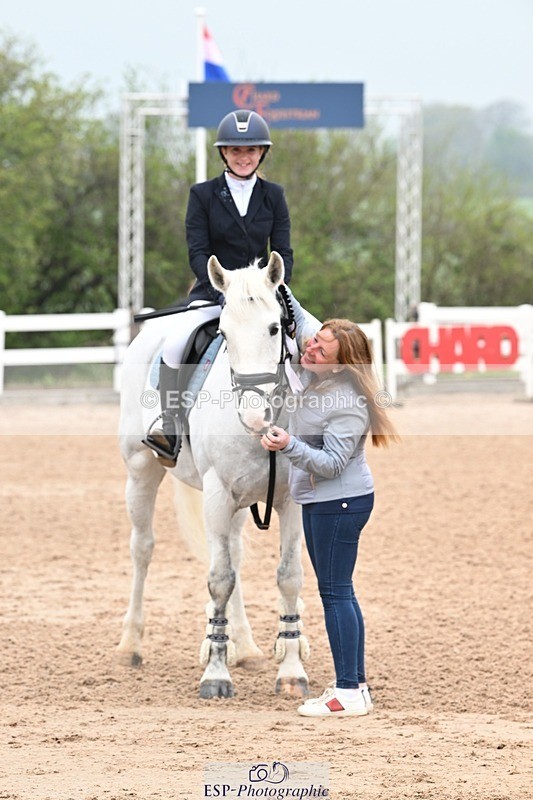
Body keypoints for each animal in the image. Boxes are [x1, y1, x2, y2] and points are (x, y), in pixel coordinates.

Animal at [117, 252, 311, 699]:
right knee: (143, 548)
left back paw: (247, 647)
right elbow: (220, 579)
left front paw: (291, 671)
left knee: (234, 554)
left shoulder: (289, 500)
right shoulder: (217, 493)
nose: (254, 417)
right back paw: (130, 645)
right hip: (141, 471)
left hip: (237, 503)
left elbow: (288, 577)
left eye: (275, 327)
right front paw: (216, 675)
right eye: (223, 333)